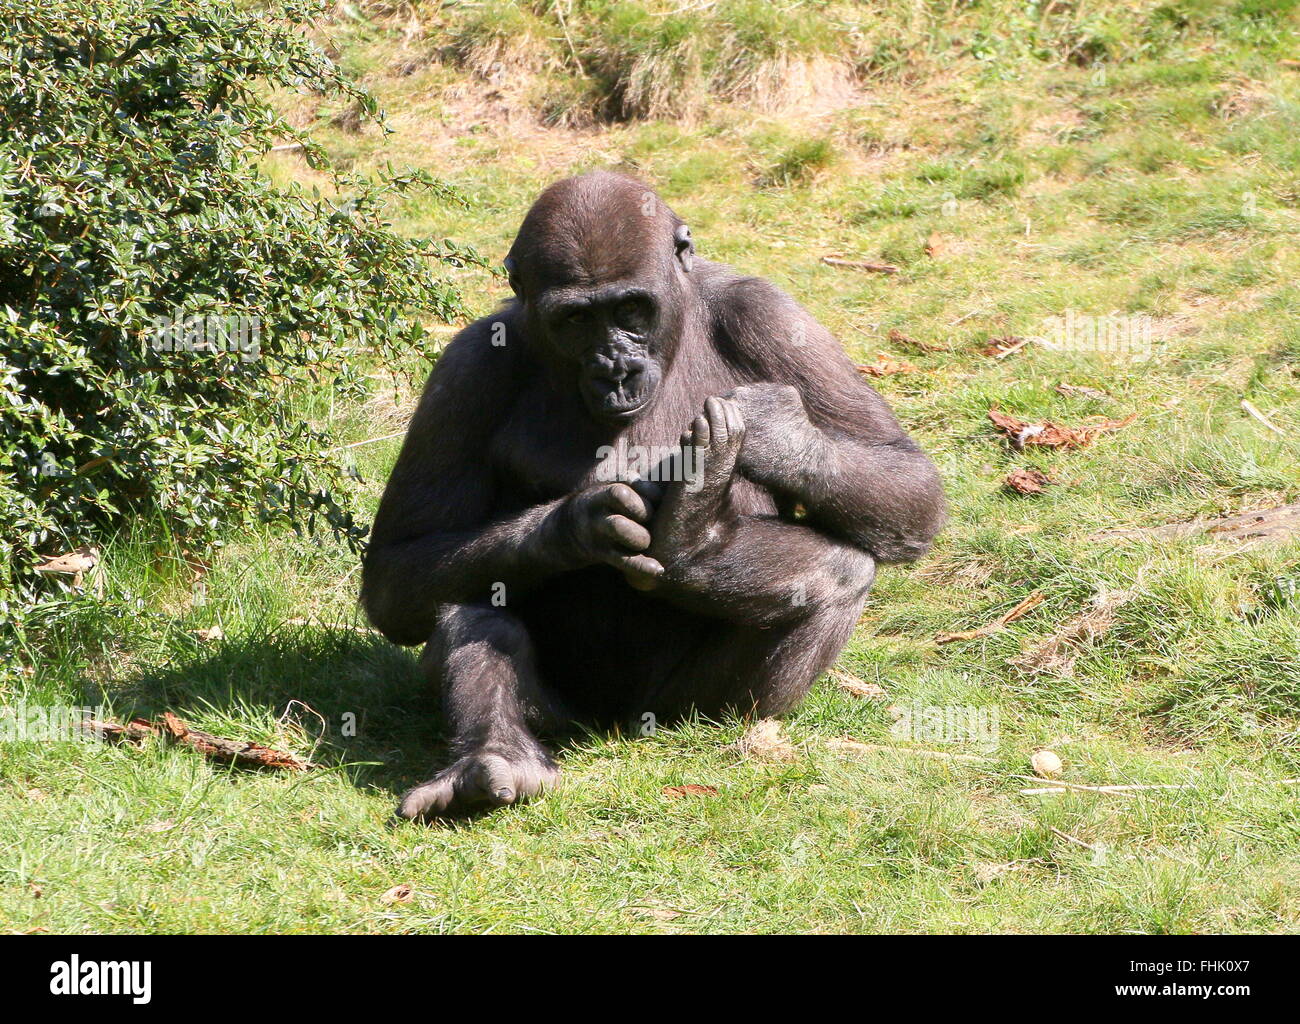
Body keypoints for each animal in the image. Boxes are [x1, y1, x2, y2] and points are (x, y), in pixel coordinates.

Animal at [358, 171, 946, 821]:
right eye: (576, 320)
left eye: (631, 309)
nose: (616, 368)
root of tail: (615, 726)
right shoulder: (469, 365)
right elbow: (399, 568)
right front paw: (579, 525)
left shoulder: (768, 314)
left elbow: (907, 476)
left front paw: (778, 432)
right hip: (566, 718)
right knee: (467, 592)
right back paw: (496, 758)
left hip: (680, 714)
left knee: (838, 572)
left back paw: (696, 543)